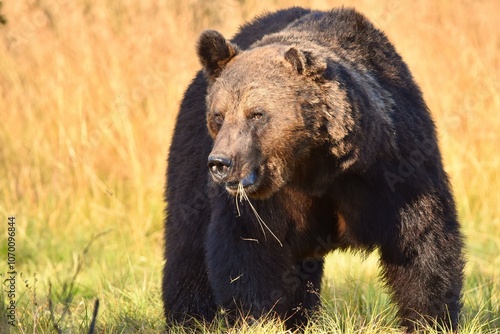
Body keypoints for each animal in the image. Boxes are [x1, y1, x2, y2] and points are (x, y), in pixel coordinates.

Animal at [164, 6, 464, 332]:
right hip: (191, 154)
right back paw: (187, 318)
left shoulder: (394, 169)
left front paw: (431, 319)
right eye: (219, 115)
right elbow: (246, 251)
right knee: (187, 242)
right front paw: (257, 318)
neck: (313, 165)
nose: (221, 163)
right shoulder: (266, 203)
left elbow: (422, 242)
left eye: (256, 114)